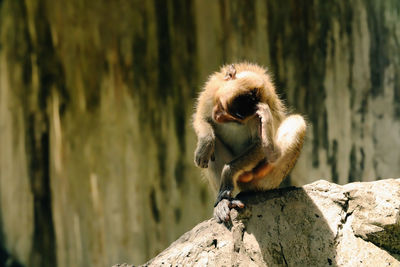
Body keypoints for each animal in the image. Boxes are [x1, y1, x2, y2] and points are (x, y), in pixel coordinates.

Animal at [194, 62, 306, 224]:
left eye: (235, 118)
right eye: (221, 106)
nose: (218, 117)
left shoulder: (256, 114)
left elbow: (258, 145)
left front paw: (228, 172)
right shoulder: (211, 90)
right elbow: (200, 118)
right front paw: (205, 144)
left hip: (266, 179)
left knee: (297, 122)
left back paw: (271, 154)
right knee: (214, 148)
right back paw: (224, 201)